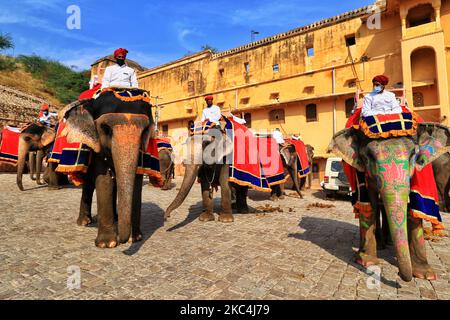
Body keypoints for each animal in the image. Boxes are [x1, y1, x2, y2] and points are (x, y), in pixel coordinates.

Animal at [61, 90, 154, 250]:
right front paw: (107, 244)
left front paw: (135, 238)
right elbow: (103, 180)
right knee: (88, 185)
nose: (123, 240)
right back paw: (84, 222)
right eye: (105, 128)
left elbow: (136, 180)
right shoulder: (97, 149)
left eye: (145, 130)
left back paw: (116, 218)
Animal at [328, 121, 450, 282]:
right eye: (369, 156)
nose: (398, 274)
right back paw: (381, 245)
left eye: (413, 154)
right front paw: (367, 262)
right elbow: (370, 204)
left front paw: (426, 275)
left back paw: (390, 243)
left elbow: (414, 208)